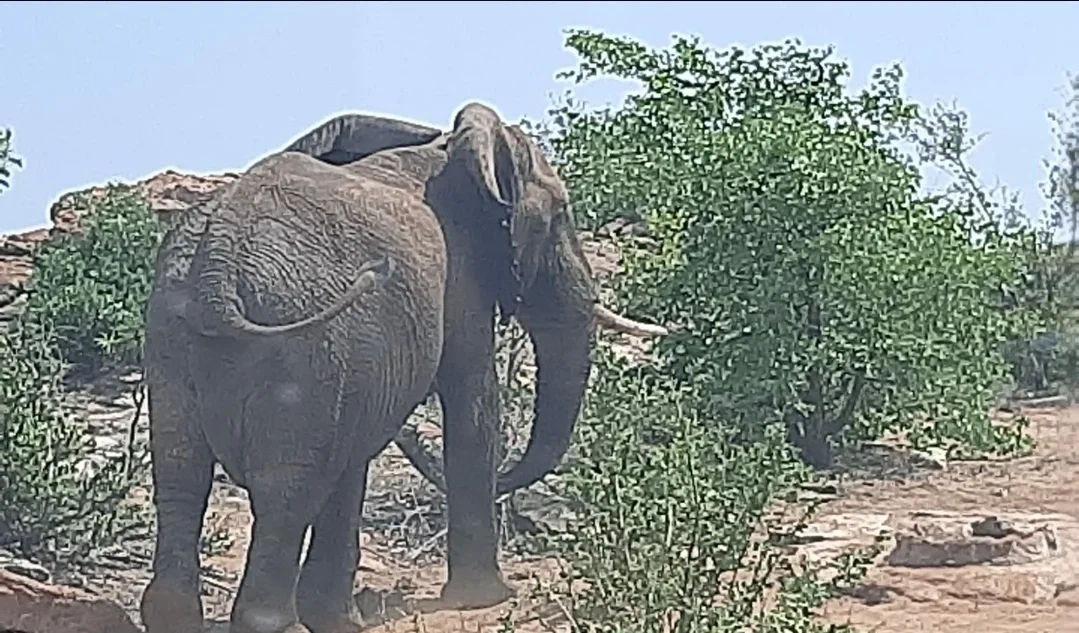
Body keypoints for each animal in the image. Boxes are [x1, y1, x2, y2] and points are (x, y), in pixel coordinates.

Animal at [138, 102, 668, 633]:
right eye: (561, 212)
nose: (411, 438)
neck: (446, 145)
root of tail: (219, 261)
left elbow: (353, 460)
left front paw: (340, 620)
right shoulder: (460, 275)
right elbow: (473, 397)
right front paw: (487, 598)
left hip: (175, 332)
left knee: (183, 472)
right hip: (294, 343)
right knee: (285, 488)